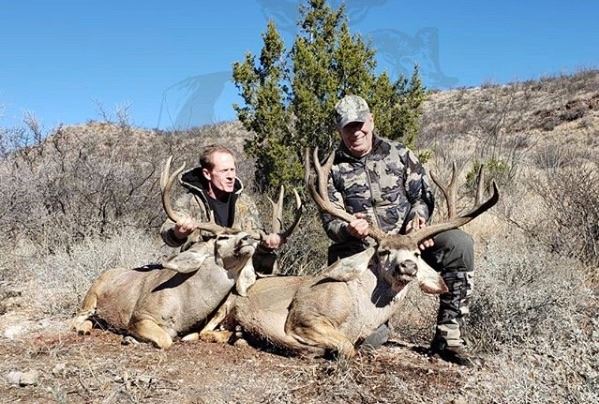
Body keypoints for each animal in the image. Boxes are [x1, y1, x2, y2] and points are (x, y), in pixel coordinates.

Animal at [71, 156, 302, 349]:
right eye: (221, 238)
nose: (248, 239)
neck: (184, 304)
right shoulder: (140, 316)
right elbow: (165, 340)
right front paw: (129, 338)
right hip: (90, 297)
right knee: (75, 318)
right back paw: (82, 329)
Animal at [194, 148, 499, 358]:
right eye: (383, 252)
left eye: (416, 253)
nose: (408, 268)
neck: (360, 312)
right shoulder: (303, 316)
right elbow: (346, 348)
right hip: (227, 303)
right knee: (204, 331)